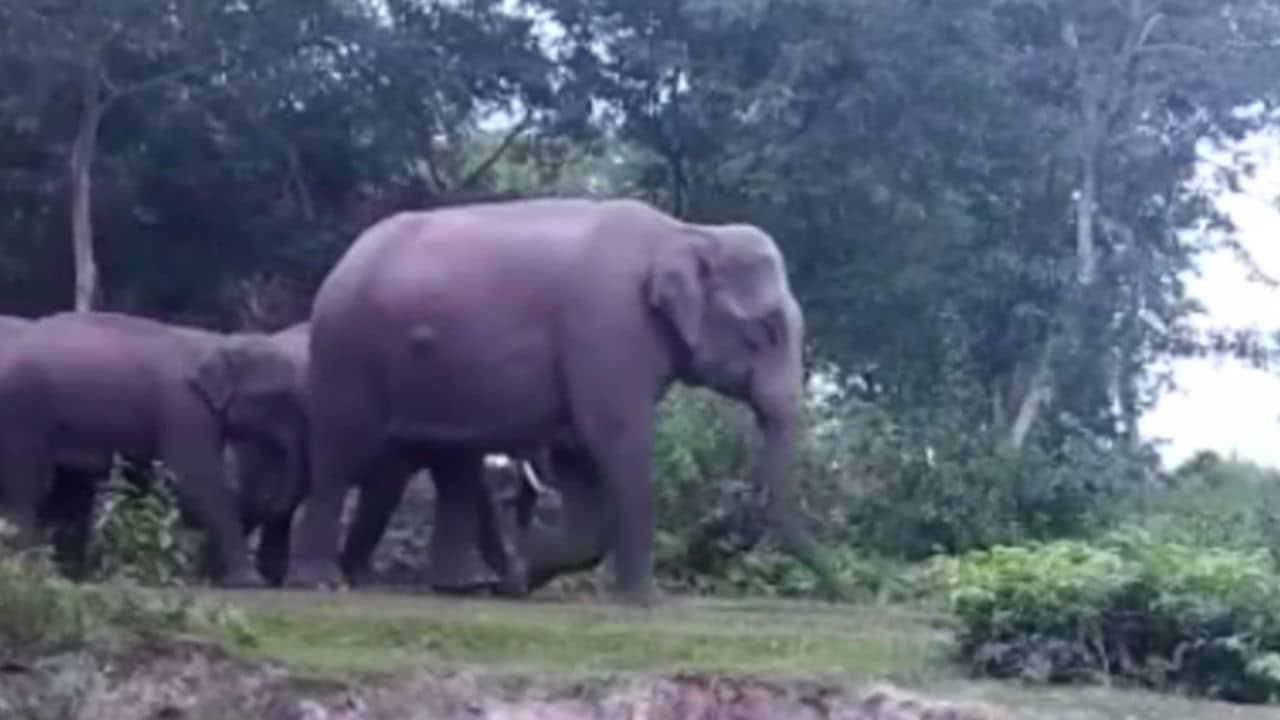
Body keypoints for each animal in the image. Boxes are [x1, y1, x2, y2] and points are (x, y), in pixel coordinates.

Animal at [0, 311, 307, 587]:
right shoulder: (184, 408)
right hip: (18, 415)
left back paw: (70, 575)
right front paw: (249, 582)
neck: (216, 342)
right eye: (281, 400)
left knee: (65, 493)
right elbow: (198, 483)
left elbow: (143, 482)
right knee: (26, 494)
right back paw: (36, 570)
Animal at [286, 197, 836, 604]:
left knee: (451, 462)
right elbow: (615, 437)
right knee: (341, 453)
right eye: (766, 332)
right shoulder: (607, 324)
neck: (687, 231)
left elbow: (579, 456)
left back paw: (461, 586)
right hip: (346, 351)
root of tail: (344, 260)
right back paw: (321, 582)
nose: (841, 586)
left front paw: (519, 578)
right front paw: (643, 602)